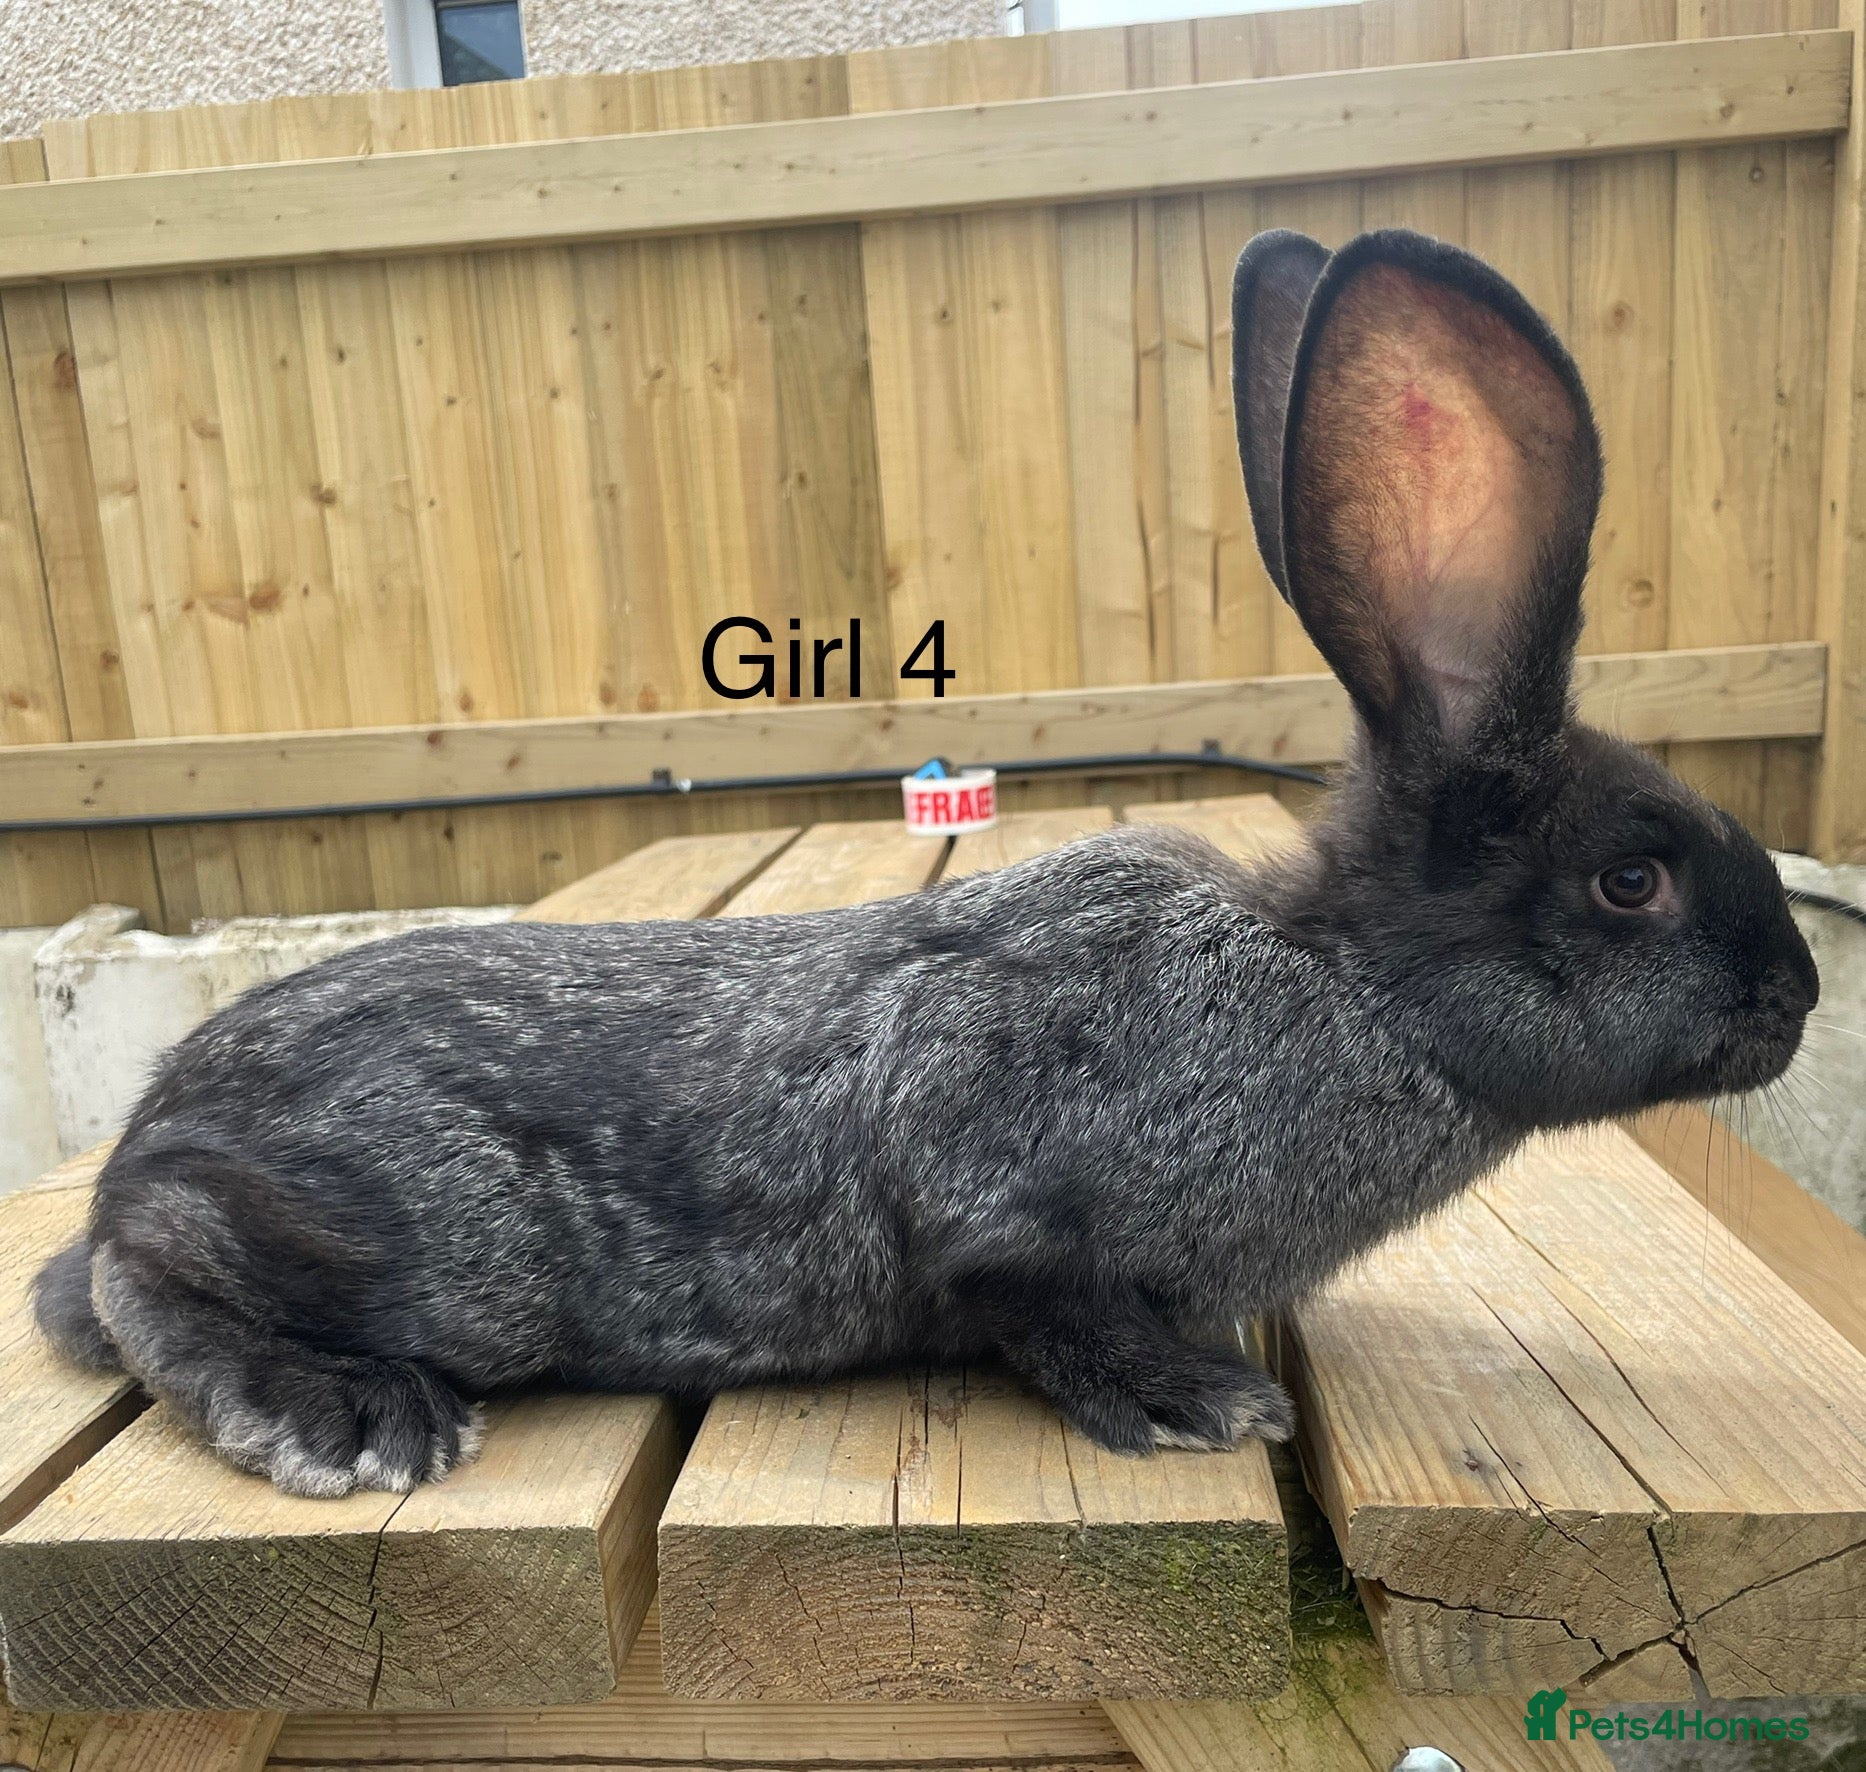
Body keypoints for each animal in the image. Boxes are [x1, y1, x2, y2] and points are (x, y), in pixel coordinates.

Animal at [34, 228, 1817, 1496]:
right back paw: (349, 1419)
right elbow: (1037, 1306)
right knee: (142, 1285)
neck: (1340, 989)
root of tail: (147, 1137)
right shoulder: (995, 1191)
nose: (1797, 997)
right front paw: (1200, 1402)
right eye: (1631, 881)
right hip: (381, 1247)